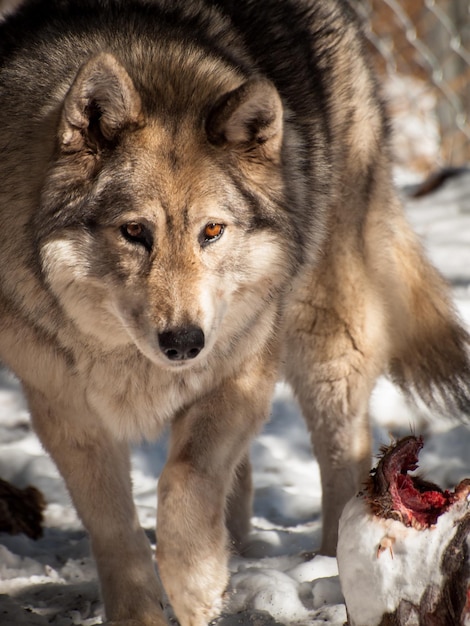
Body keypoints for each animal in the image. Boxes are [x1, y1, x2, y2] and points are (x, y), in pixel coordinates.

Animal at [0, 0, 468, 620]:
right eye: (135, 232)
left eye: (212, 231)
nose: (183, 344)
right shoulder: (66, 410)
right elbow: (117, 530)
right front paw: (147, 611)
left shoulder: (240, 371)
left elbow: (184, 478)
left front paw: (196, 586)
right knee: (240, 478)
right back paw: (239, 551)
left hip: (323, 339)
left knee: (344, 457)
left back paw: (329, 566)